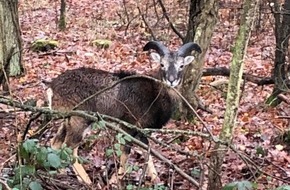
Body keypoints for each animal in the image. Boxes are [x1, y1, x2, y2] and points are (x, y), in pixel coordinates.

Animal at [47, 40, 202, 185]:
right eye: (162, 64)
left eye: (181, 66)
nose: (171, 81)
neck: (155, 94)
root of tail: (52, 87)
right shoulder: (128, 126)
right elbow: (126, 152)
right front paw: (115, 180)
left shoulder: (141, 132)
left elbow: (147, 153)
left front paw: (156, 180)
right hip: (80, 120)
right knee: (70, 148)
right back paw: (86, 180)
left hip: (67, 120)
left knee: (56, 142)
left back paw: (59, 171)